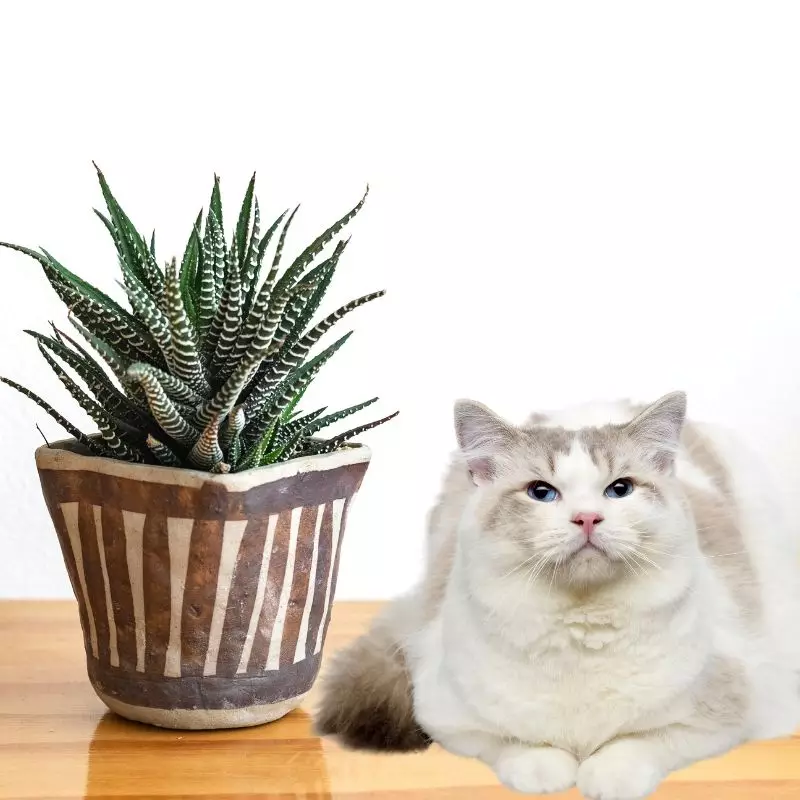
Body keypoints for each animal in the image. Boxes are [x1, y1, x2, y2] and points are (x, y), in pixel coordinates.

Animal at [314, 394, 800, 800]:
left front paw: (603, 777)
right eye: (541, 493)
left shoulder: (723, 717)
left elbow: (635, 746)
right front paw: (549, 772)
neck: (581, 627)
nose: (587, 518)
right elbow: (520, 746)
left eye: (619, 489)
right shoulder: (449, 717)